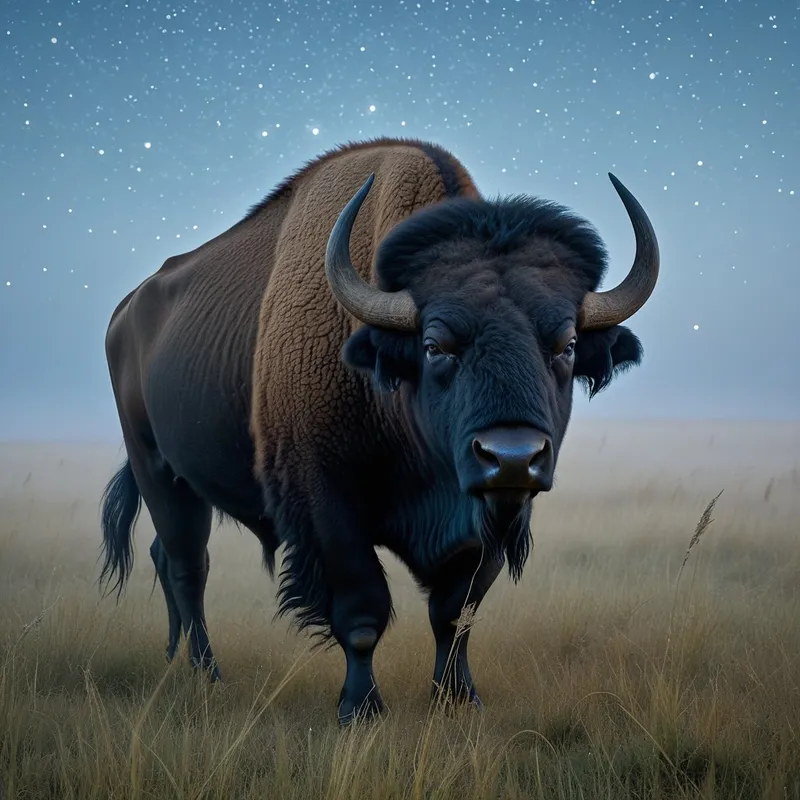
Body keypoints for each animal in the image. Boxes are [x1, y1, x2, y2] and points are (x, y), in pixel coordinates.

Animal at [99, 137, 660, 725]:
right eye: (435, 345)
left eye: (567, 344)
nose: (511, 457)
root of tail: (126, 313)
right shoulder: (328, 506)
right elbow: (363, 612)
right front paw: (360, 707)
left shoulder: (491, 517)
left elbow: (455, 612)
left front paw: (459, 699)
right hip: (158, 469)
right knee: (189, 566)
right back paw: (207, 674)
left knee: (167, 557)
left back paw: (174, 660)